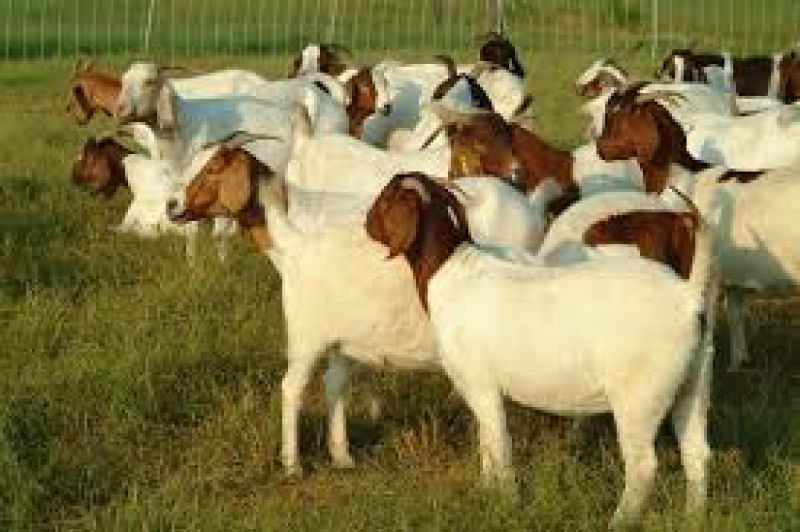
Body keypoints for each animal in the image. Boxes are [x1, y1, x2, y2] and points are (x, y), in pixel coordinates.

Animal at [366, 171, 715, 527]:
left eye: (385, 197)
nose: (366, 221)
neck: (449, 270)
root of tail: (688, 295)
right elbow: (487, 445)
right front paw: (486, 494)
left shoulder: (480, 385)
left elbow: (499, 447)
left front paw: (506, 505)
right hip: (694, 380)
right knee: (697, 453)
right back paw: (694, 518)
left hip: (640, 395)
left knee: (643, 467)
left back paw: (619, 522)